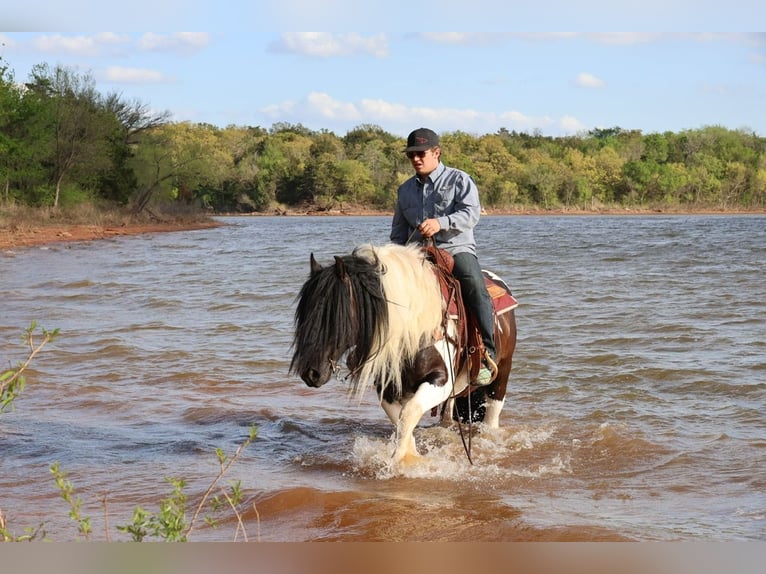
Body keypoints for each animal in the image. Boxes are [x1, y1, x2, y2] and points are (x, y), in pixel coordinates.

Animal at [289, 242, 517, 468]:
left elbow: (409, 412)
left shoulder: (442, 380)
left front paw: (402, 460)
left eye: (334, 315)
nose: (311, 373)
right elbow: (400, 419)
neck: (412, 326)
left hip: (501, 374)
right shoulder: (389, 388)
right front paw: (409, 454)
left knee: (492, 415)